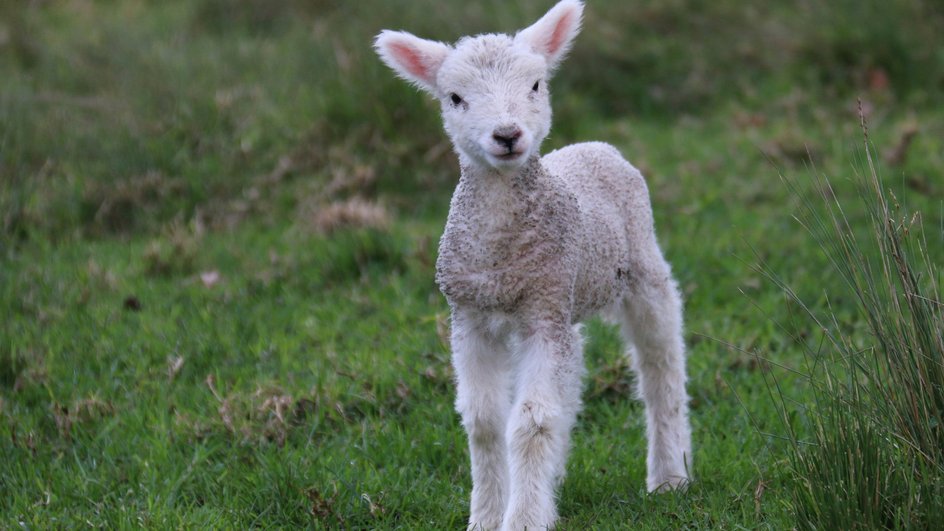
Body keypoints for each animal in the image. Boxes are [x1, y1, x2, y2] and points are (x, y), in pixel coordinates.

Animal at [374, 2, 692, 528]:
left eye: (537, 85)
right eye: (455, 98)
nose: (507, 135)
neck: (500, 256)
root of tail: (594, 146)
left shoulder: (542, 314)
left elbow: (531, 422)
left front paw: (522, 518)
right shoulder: (471, 317)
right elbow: (484, 422)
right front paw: (485, 517)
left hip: (641, 268)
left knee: (660, 366)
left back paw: (670, 476)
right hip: (566, 300)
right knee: (574, 373)